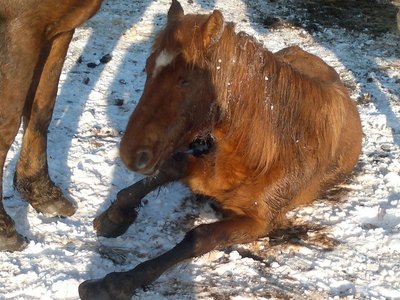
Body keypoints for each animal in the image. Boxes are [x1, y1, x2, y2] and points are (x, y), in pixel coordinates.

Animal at [0, 0, 102, 252]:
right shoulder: (19, 29)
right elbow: (7, 124)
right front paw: (3, 229)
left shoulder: (56, 27)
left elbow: (41, 108)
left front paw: (40, 190)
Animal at [79, 1, 360, 298]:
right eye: (148, 68)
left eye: (186, 80)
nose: (131, 154)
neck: (267, 153)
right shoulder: (202, 167)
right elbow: (170, 168)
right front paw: (115, 216)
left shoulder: (258, 222)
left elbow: (198, 236)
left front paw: (114, 284)